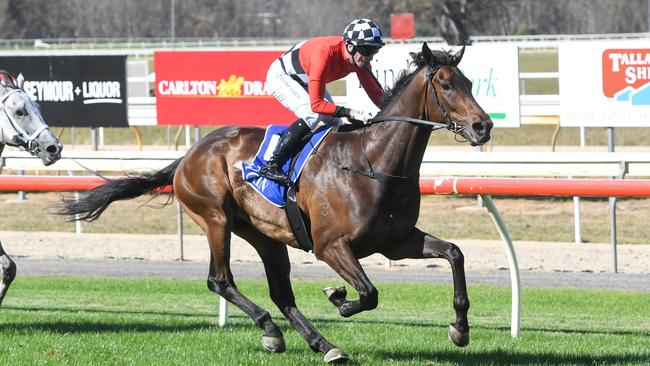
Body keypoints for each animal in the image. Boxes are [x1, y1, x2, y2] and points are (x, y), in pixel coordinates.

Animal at [60, 43, 488, 364]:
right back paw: (271, 330)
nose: (483, 126)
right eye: (445, 84)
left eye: (468, 81)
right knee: (220, 280)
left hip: (265, 235)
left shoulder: (396, 242)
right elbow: (368, 294)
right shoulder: (331, 246)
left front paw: (460, 328)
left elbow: (454, 253)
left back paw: (322, 344)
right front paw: (338, 298)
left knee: (281, 293)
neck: (372, 160)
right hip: (215, 218)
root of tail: (189, 155)